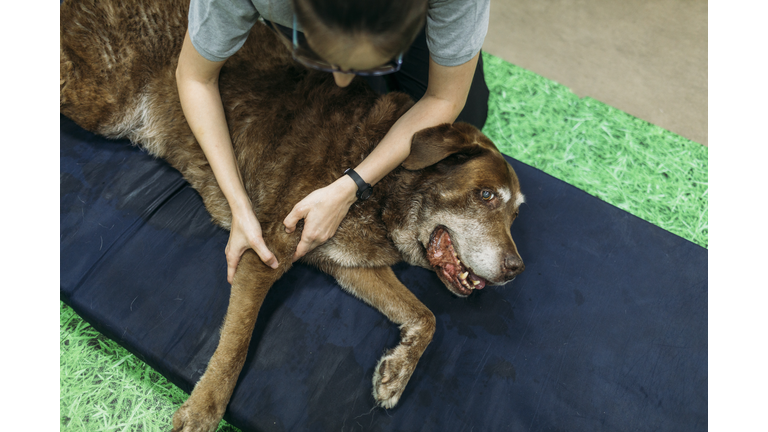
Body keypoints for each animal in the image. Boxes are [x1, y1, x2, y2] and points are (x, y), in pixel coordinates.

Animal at [63, 0, 524, 428]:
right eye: (486, 195)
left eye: (517, 214)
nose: (517, 268)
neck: (386, 191)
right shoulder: (264, 251)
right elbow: (236, 345)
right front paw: (204, 410)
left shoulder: (351, 265)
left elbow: (426, 316)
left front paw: (397, 371)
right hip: (101, 100)